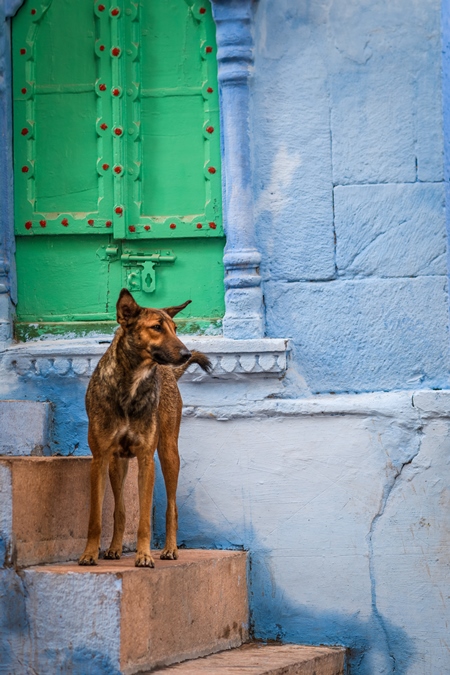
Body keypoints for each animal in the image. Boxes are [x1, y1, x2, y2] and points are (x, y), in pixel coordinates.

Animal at [78, 288, 211, 568]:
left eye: (175, 328)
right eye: (157, 327)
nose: (185, 354)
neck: (131, 384)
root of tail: (169, 373)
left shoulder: (146, 459)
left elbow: (144, 520)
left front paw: (144, 555)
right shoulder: (100, 459)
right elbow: (98, 516)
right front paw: (89, 553)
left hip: (169, 453)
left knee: (172, 507)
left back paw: (170, 549)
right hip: (117, 464)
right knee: (120, 509)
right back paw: (114, 548)